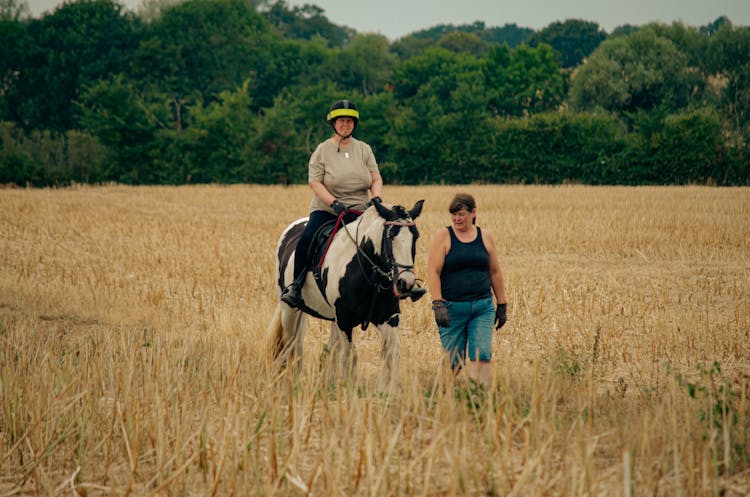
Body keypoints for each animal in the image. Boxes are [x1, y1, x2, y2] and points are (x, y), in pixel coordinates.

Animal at [270, 200, 426, 390]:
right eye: (390, 236)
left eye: (415, 236)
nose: (406, 283)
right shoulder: (345, 319)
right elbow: (349, 356)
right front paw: (347, 389)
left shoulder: (388, 317)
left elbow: (392, 352)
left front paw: (388, 391)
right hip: (289, 309)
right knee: (290, 343)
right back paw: (289, 380)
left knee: (322, 346)